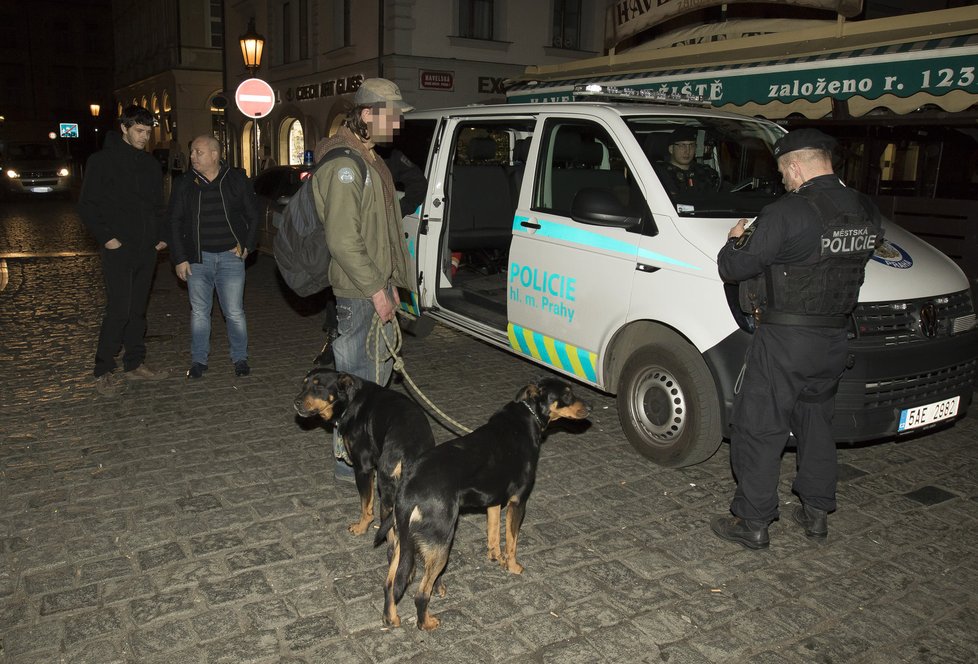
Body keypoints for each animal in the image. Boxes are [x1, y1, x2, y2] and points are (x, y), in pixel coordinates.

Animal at [292, 370, 432, 536]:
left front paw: (361, 527)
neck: (349, 402)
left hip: (386, 486)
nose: (296, 402)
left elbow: (365, 505)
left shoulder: (363, 469)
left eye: (319, 387)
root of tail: (410, 450)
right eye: (303, 385)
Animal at [372, 376, 588, 632]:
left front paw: (495, 556)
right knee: (420, 593)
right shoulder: (518, 502)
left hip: (403, 542)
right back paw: (427, 623)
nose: (590, 408)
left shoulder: (493, 500)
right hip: (441, 542)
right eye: (567, 394)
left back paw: (391, 618)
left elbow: (493, 532)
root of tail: (409, 485)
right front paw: (513, 566)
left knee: (390, 584)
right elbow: (512, 541)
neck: (527, 416)